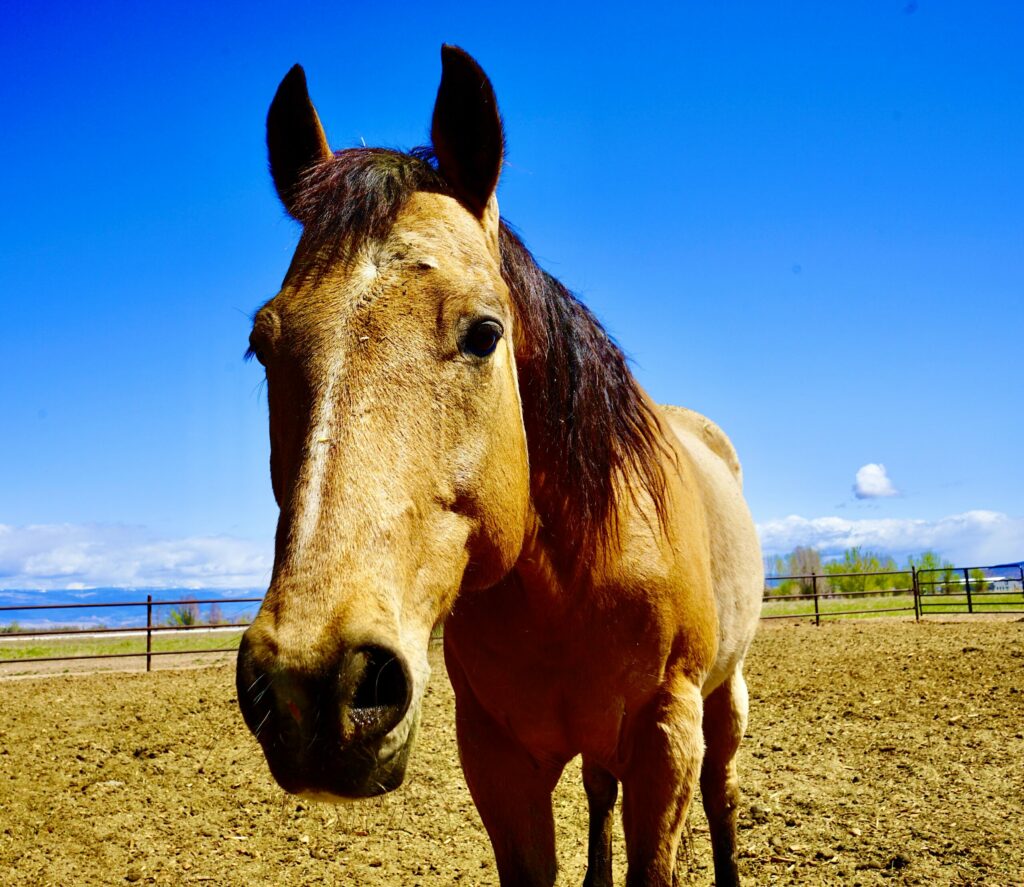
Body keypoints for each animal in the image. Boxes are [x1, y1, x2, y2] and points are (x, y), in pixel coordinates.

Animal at [237, 45, 761, 880]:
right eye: (263, 345)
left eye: (485, 332)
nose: (308, 681)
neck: (572, 580)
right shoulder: (498, 760)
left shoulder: (666, 738)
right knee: (600, 792)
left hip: (725, 697)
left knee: (723, 796)